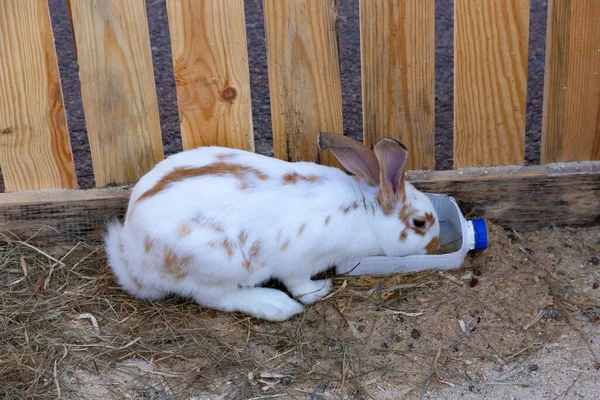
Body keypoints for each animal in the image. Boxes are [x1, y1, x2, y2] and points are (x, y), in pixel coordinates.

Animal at [104, 134, 440, 322]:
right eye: (420, 223)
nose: (437, 246)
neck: (365, 210)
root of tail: (133, 260)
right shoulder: (300, 262)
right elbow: (300, 285)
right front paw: (320, 290)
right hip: (217, 264)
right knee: (216, 297)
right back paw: (276, 306)